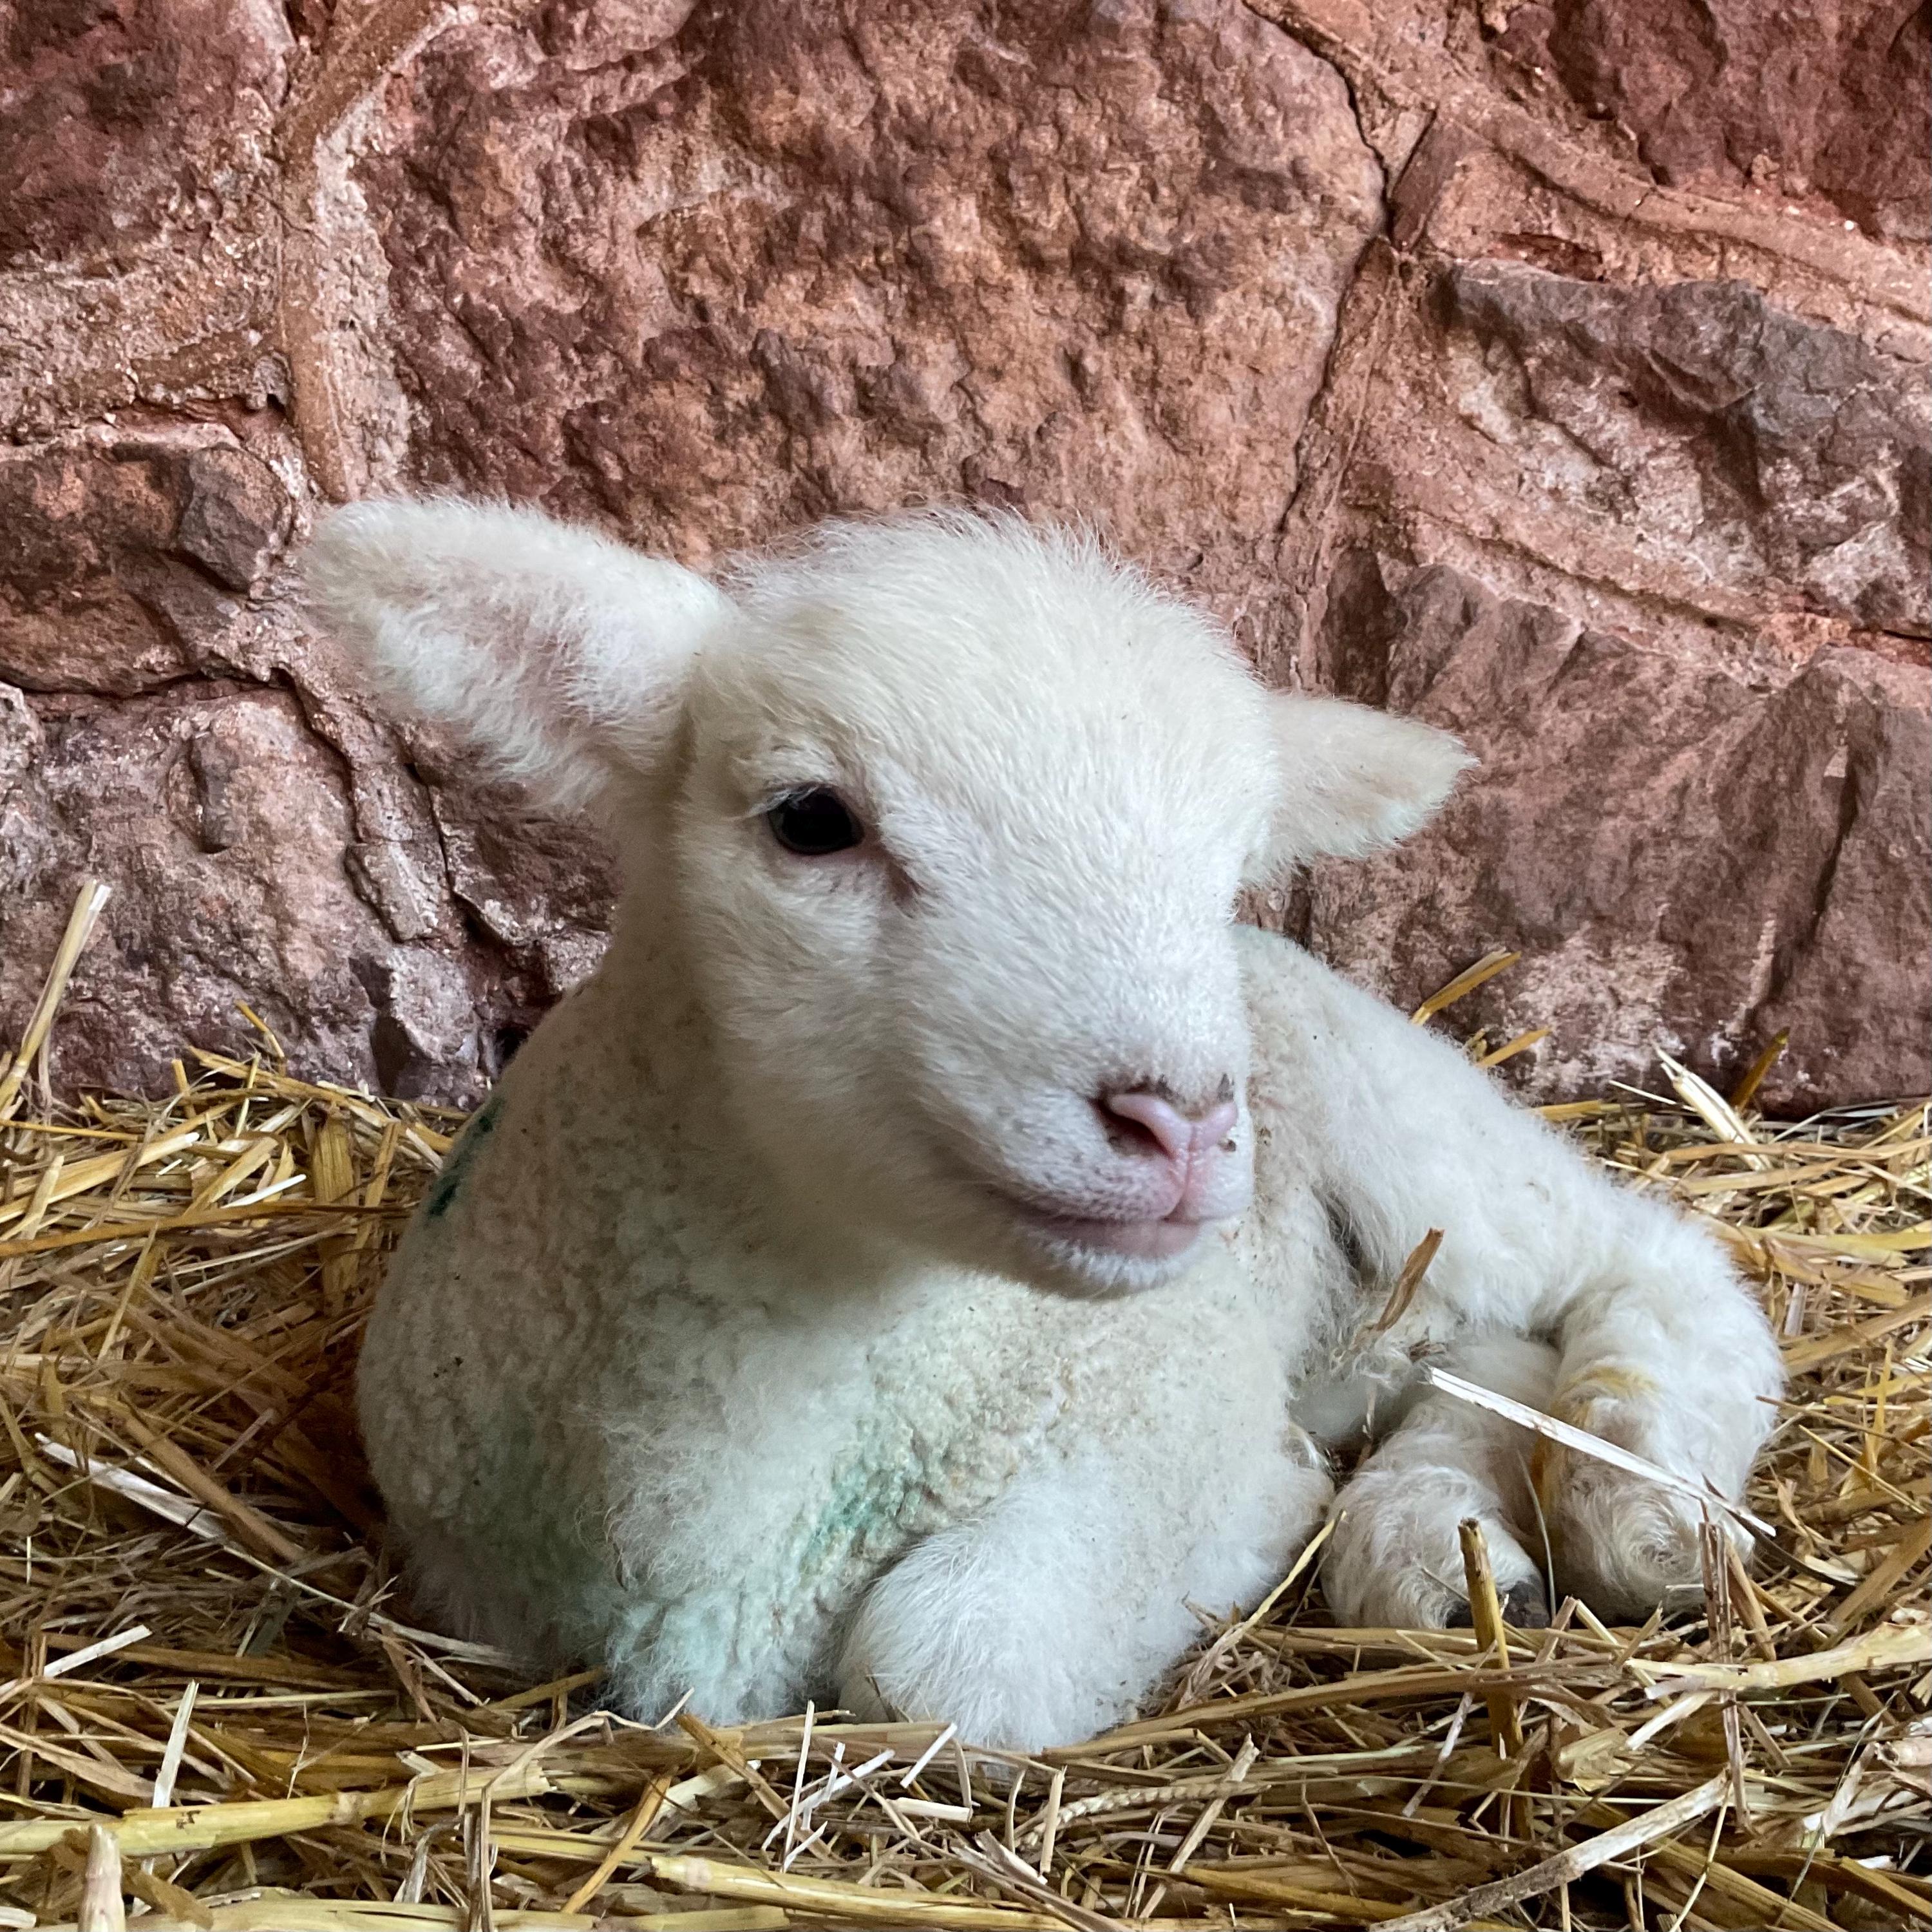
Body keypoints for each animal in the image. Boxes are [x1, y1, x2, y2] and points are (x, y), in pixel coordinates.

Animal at [305, 500, 1784, 1750]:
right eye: (811, 821)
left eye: (1227, 871)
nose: (1179, 1125)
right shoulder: (462, 1562)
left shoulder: (1167, 1420)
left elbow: (941, 1667)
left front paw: (1283, 1508)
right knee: (1482, 1354)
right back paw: (1434, 1542)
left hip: (1414, 1126)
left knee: (1656, 1264)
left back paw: (1637, 1502)